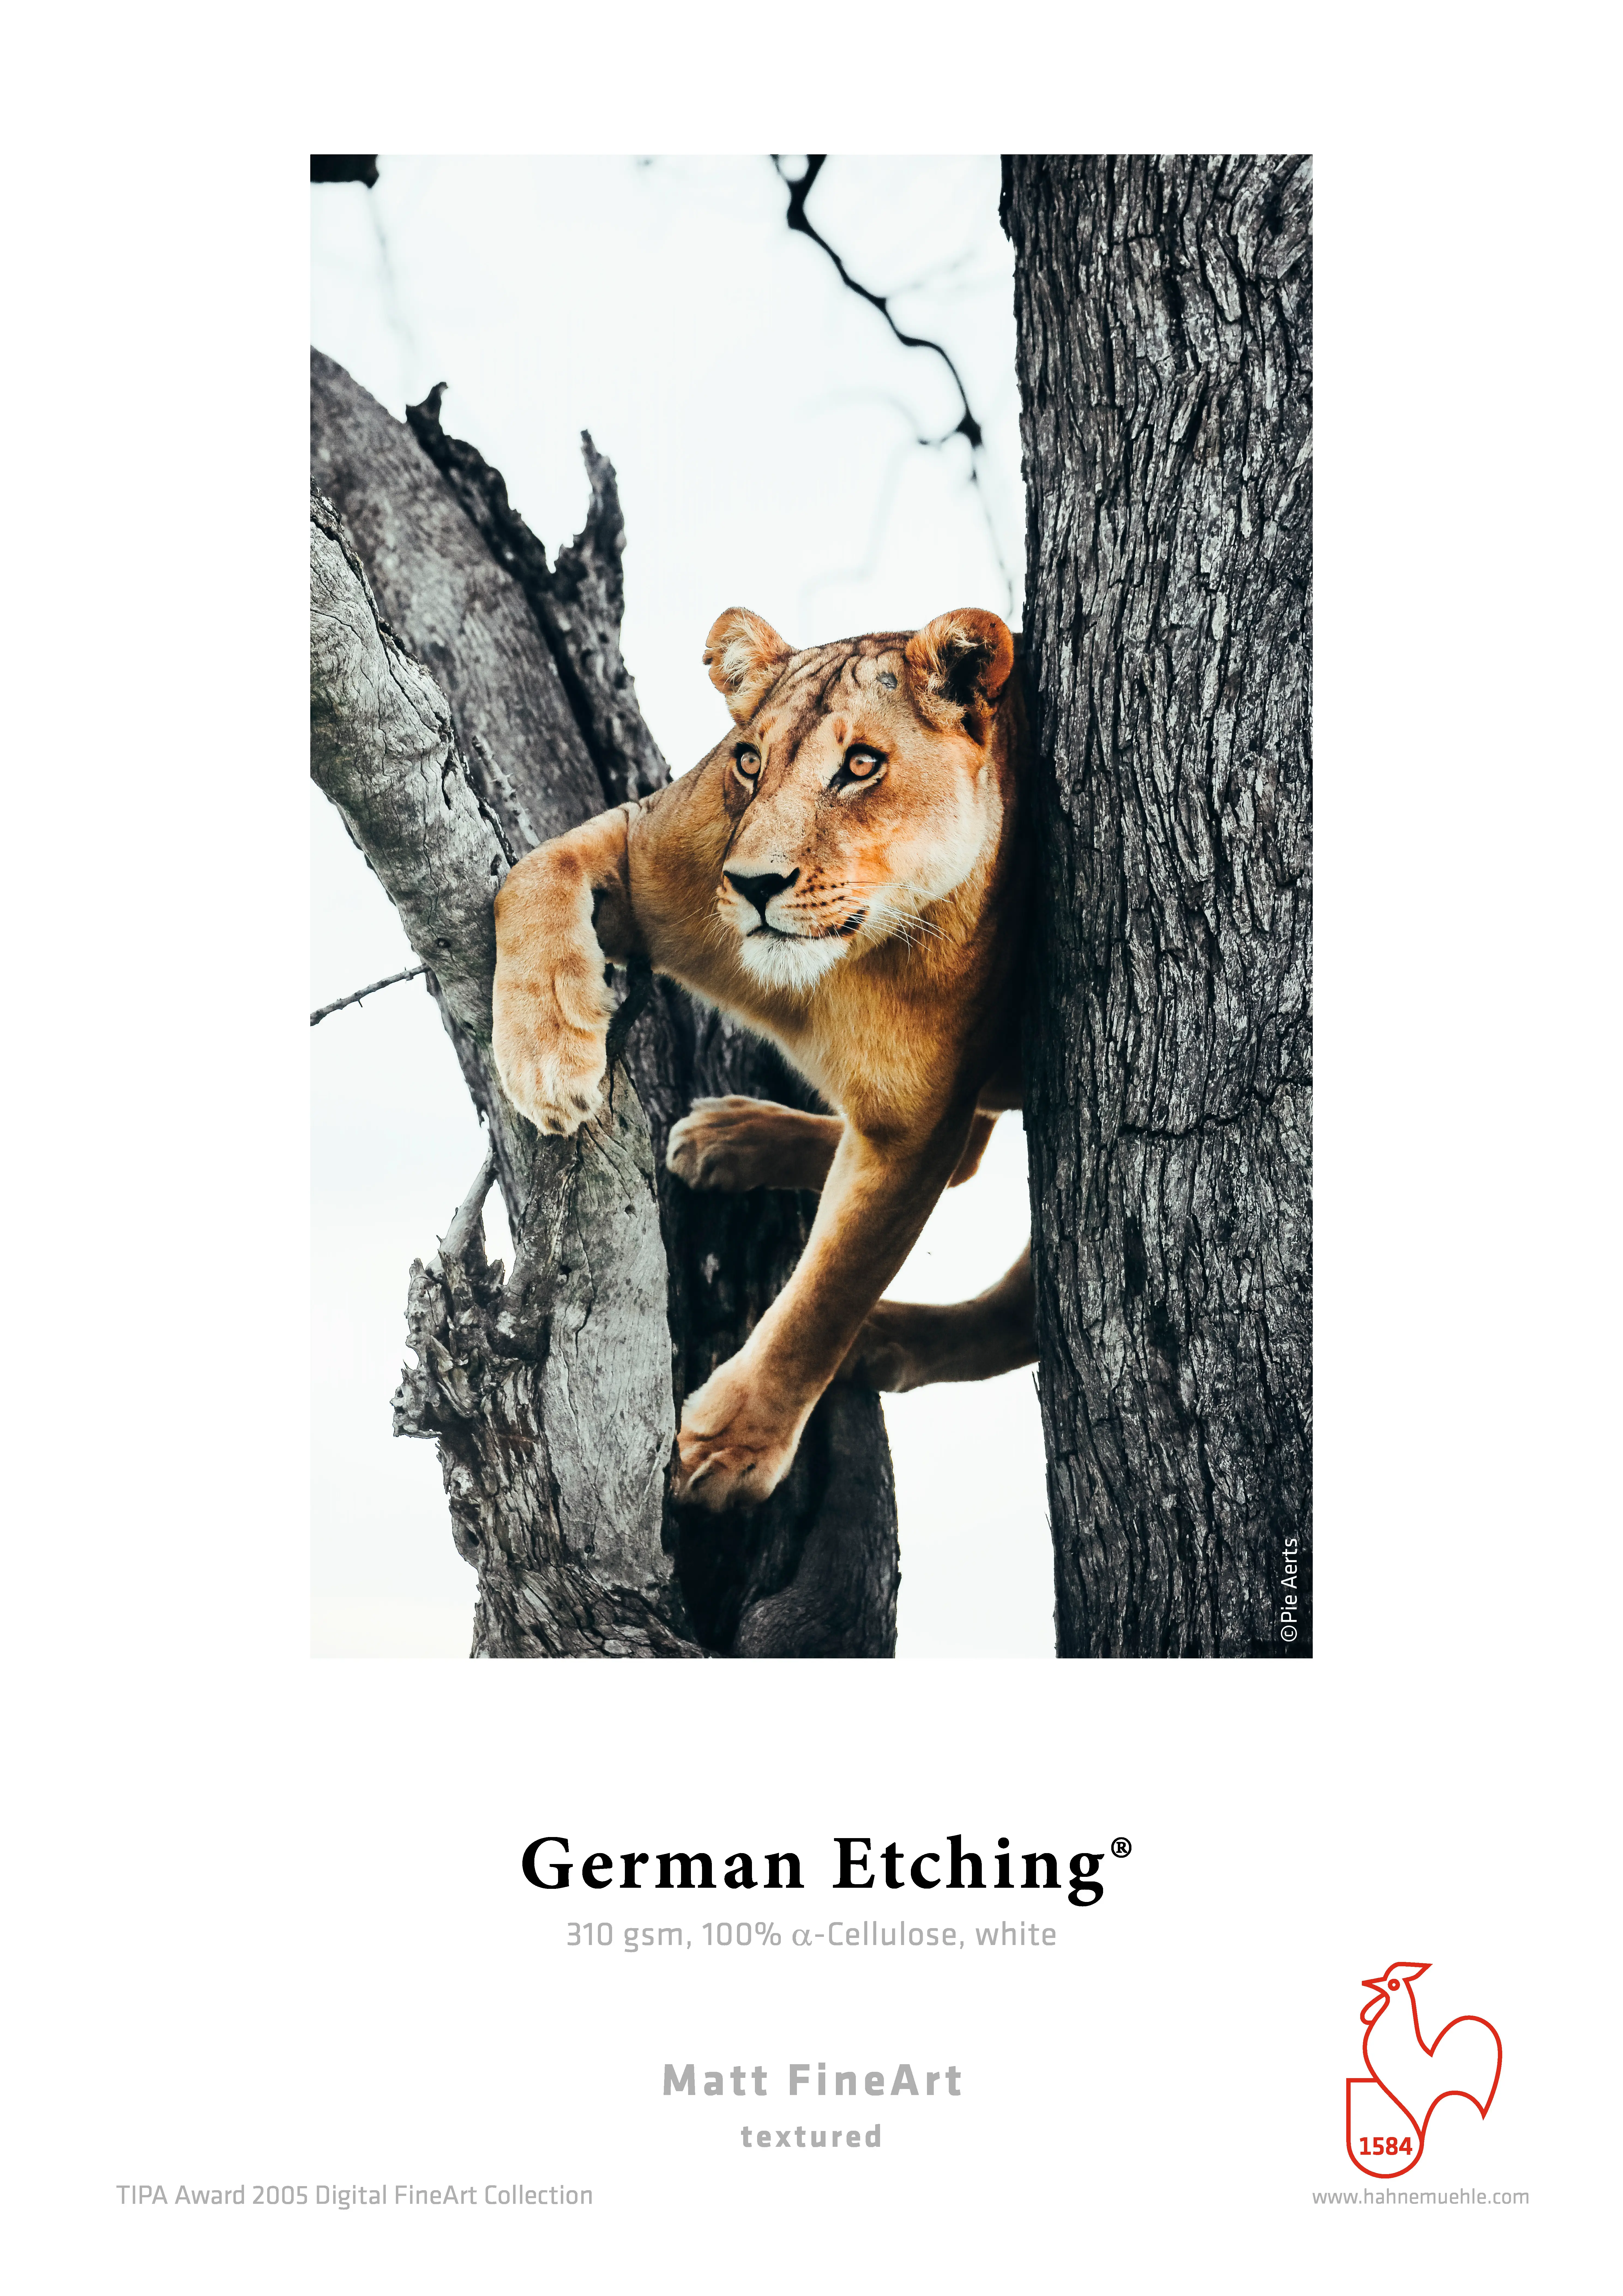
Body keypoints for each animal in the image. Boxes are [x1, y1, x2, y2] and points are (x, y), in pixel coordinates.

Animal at [492, 604, 1037, 1511]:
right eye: (748, 761)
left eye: (862, 765)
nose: (752, 884)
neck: (830, 975)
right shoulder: (653, 855)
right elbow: (534, 869)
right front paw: (547, 1058)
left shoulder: (913, 1123)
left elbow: (828, 1291)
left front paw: (732, 1445)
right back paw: (728, 1139)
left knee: (1014, 1293)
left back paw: (875, 1337)